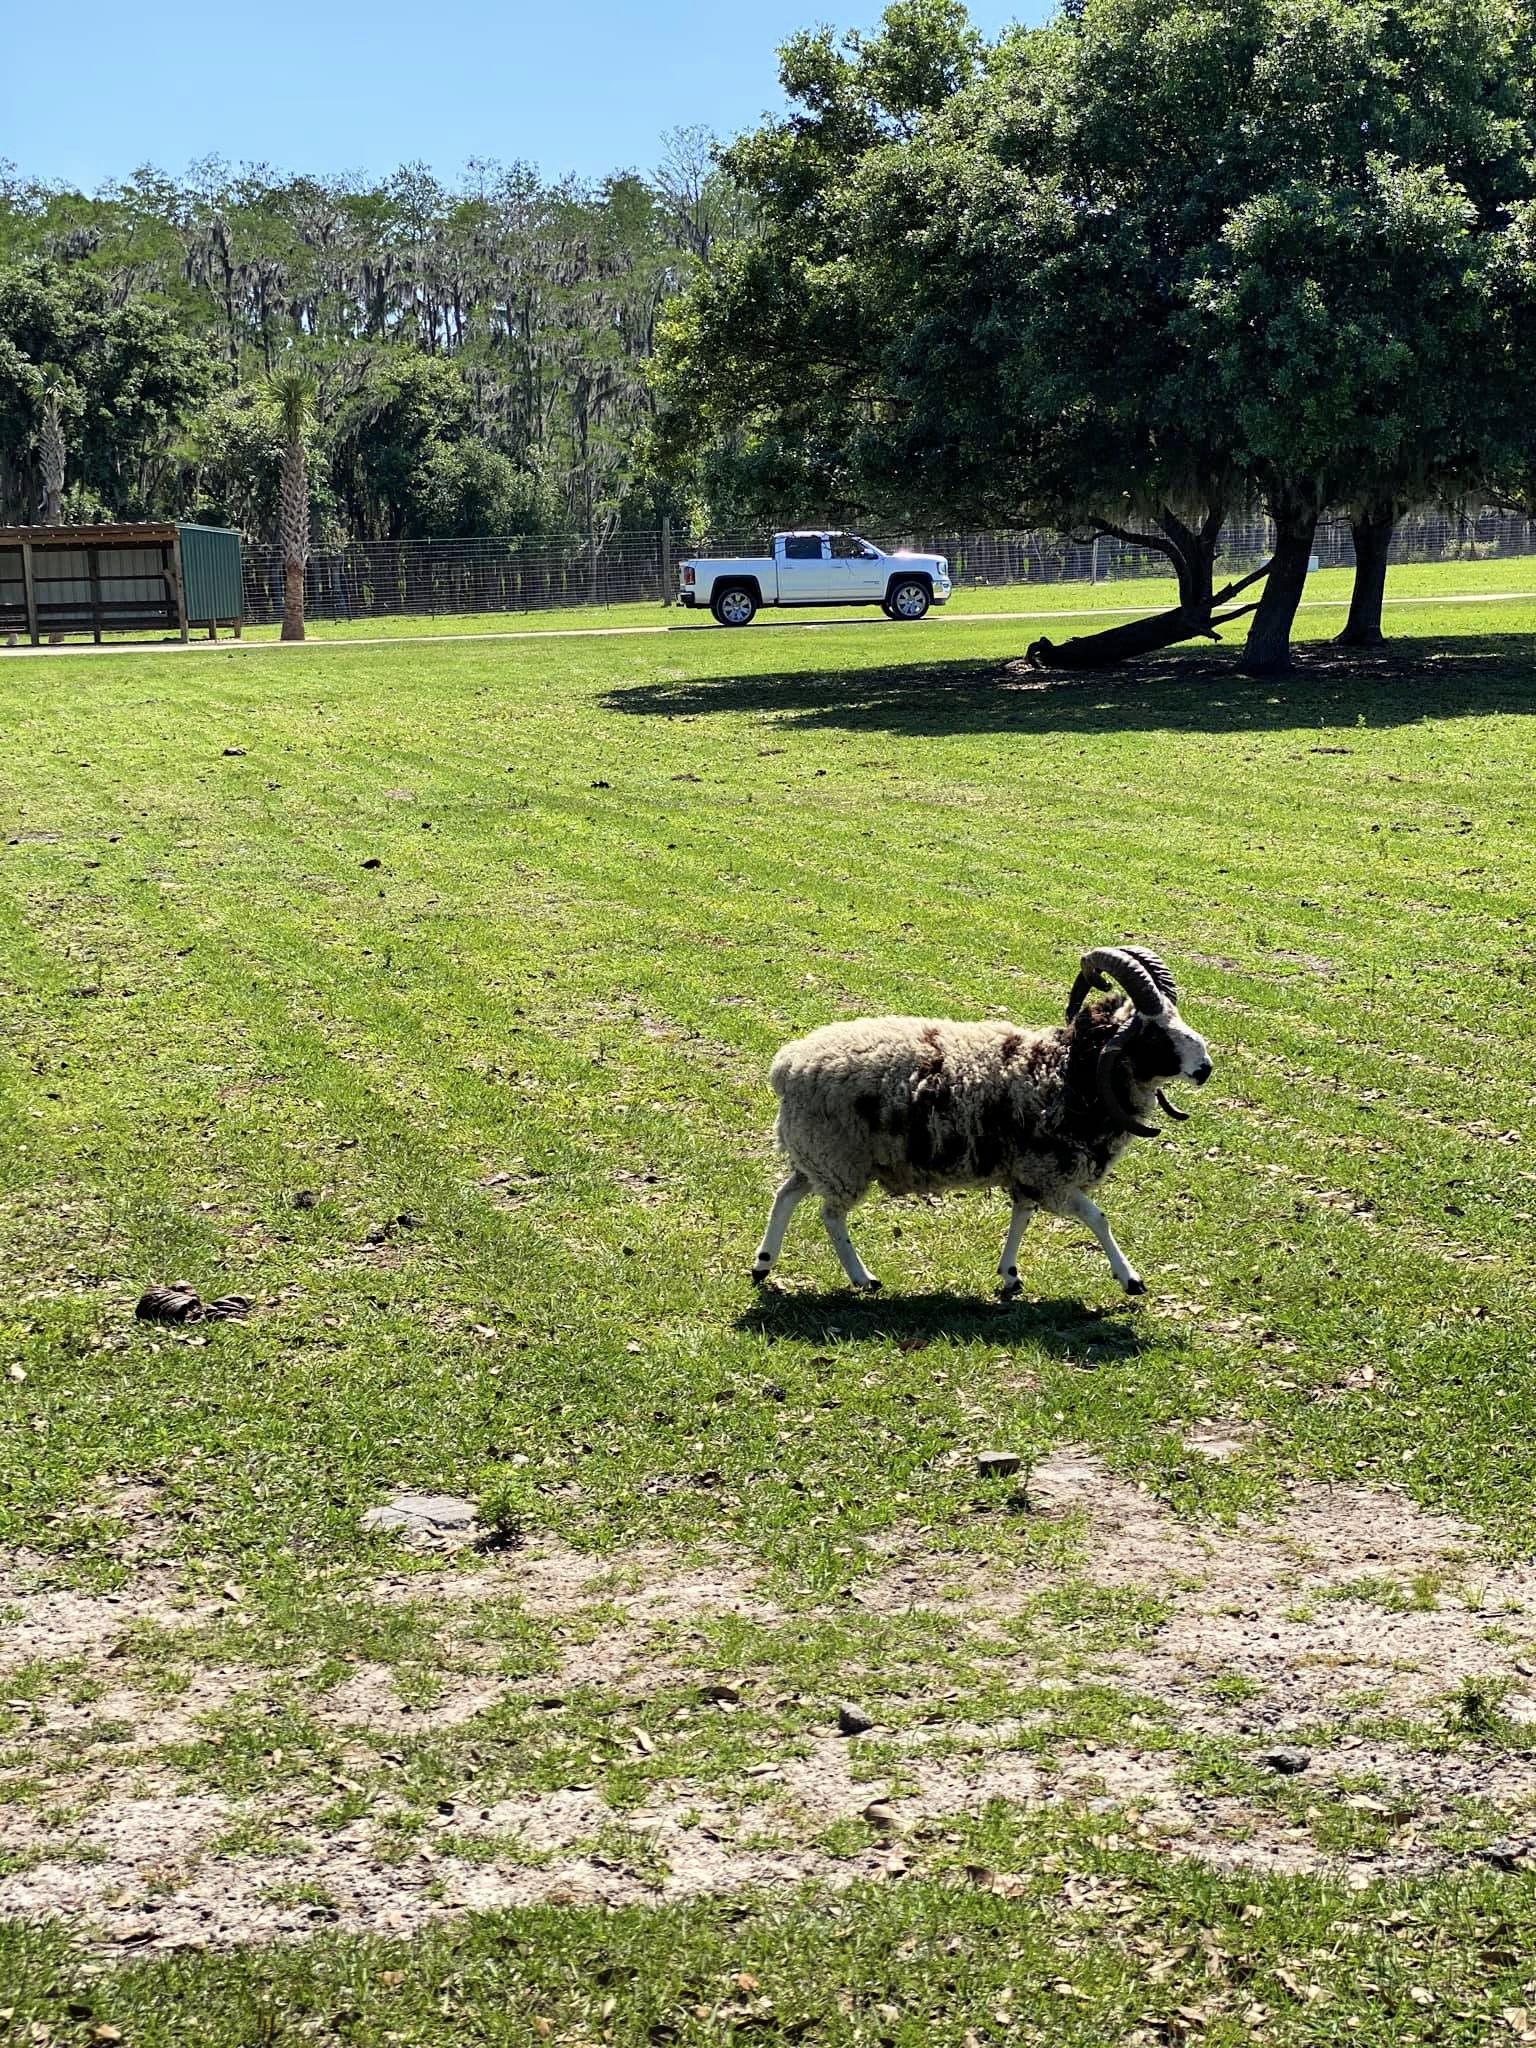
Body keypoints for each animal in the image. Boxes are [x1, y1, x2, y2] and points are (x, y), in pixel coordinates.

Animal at [753, 946, 1212, 1294]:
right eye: (1153, 1034)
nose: (1205, 1068)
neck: (1067, 1071)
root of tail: (787, 1066)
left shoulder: (1030, 1172)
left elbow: (1022, 1214)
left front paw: (1009, 1275)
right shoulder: (1052, 1174)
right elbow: (1098, 1217)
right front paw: (1131, 1279)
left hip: (818, 1156)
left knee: (786, 1194)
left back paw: (763, 1263)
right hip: (839, 1158)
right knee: (830, 1215)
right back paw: (862, 1277)